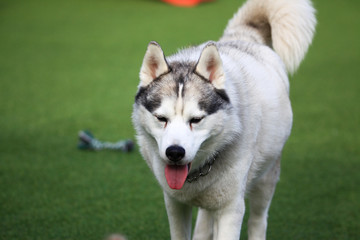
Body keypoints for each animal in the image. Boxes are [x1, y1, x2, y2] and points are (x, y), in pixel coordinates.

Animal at [132, 0, 316, 238]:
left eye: (196, 119)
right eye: (161, 118)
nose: (174, 152)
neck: (197, 173)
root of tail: (244, 36)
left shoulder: (231, 209)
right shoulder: (174, 203)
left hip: (266, 179)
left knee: (258, 220)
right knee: (205, 219)